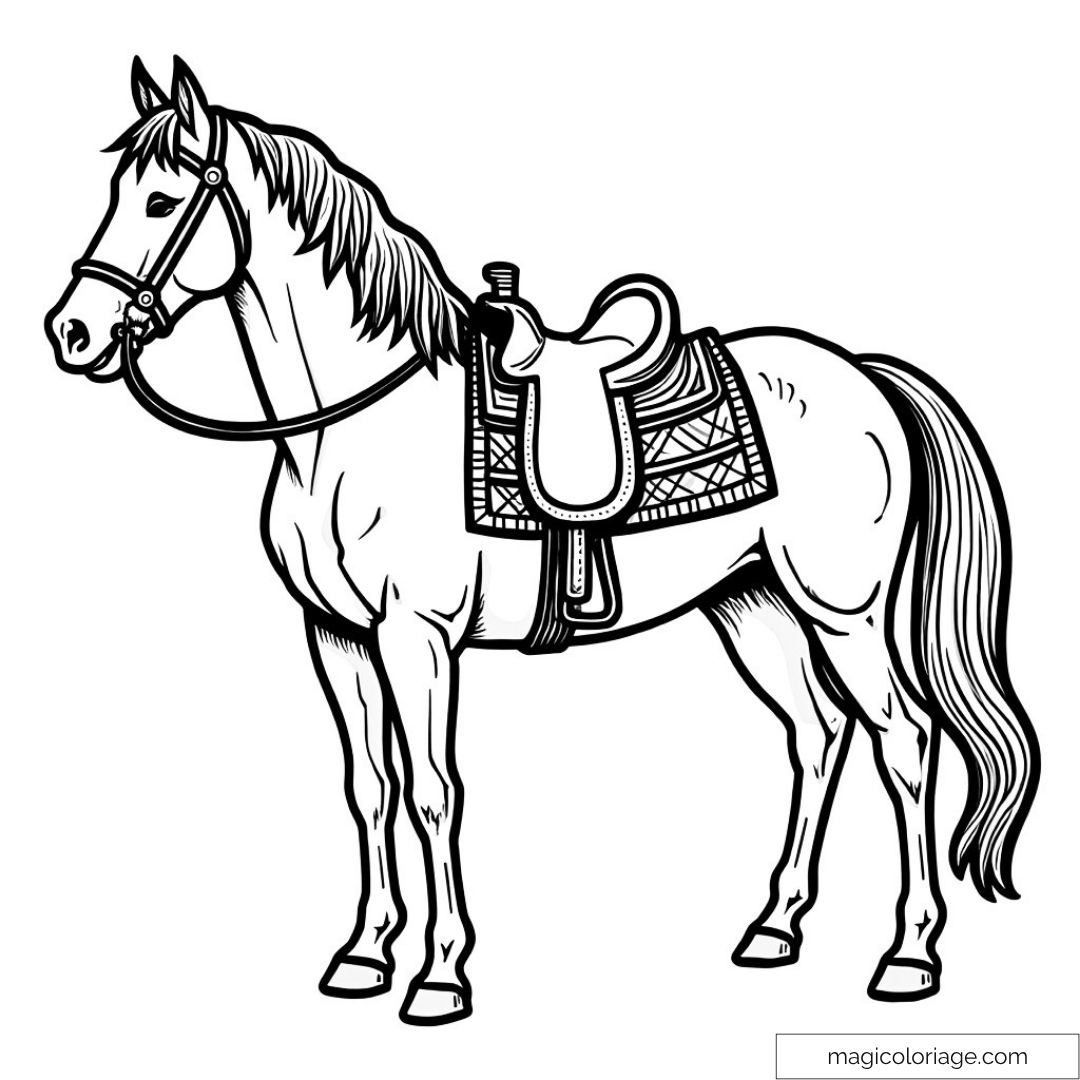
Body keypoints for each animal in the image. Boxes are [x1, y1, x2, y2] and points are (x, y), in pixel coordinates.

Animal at [45, 57, 1038, 1025]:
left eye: (163, 201)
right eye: (116, 190)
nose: (73, 332)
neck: (351, 426)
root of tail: (861, 374)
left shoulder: (418, 635)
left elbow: (433, 792)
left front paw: (440, 976)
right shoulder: (336, 635)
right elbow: (369, 789)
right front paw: (363, 956)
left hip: (843, 612)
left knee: (904, 741)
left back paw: (908, 956)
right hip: (750, 602)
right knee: (817, 734)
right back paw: (774, 928)